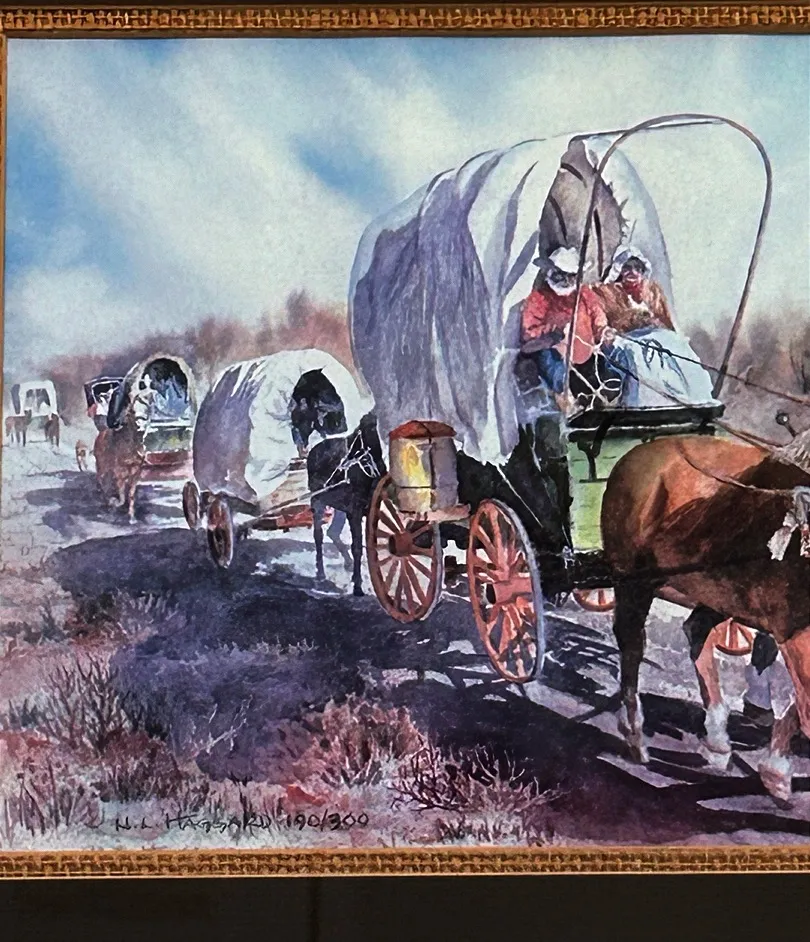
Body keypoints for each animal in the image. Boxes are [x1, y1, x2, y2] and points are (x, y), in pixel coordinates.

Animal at [290, 369, 385, 596]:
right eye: (361, 434)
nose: (342, 468)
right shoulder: (355, 511)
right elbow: (357, 546)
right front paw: (358, 585)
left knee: (332, 533)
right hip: (317, 502)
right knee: (318, 536)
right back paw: (320, 574)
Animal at [601, 432, 810, 803]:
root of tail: (641, 451)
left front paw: (775, 770)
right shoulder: (794, 630)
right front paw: (776, 772)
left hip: (718, 592)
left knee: (695, 631)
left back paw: (716, 738)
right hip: (633, 580)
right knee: (632, 645)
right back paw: (634, 731)